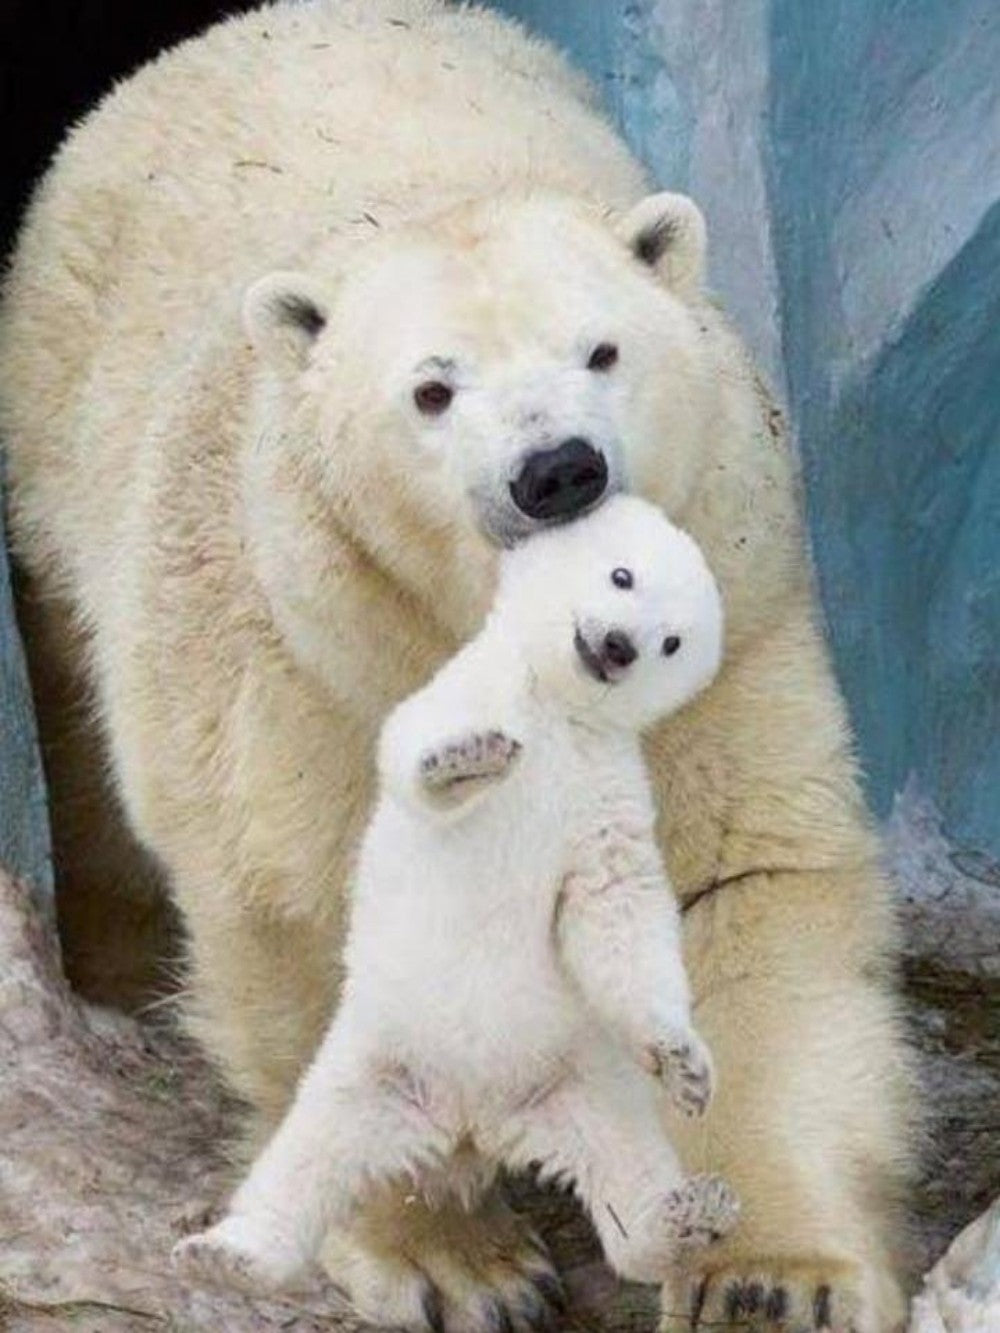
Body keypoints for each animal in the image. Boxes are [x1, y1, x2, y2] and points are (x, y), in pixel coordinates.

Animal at [172, 494, 739, 1294]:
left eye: (672, 641)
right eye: (622, 574)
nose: (617, 645)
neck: (557, 712)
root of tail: (472, 1122)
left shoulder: (604, 789)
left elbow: (615, 908)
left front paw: (686, 1066)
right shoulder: (463, 690)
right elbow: (413, 752)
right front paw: (468, 758)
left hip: (576, 1085)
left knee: (627, 1171)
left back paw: (690, 1216)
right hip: (374, 1066)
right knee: (303, 1159)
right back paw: (230, 1253)